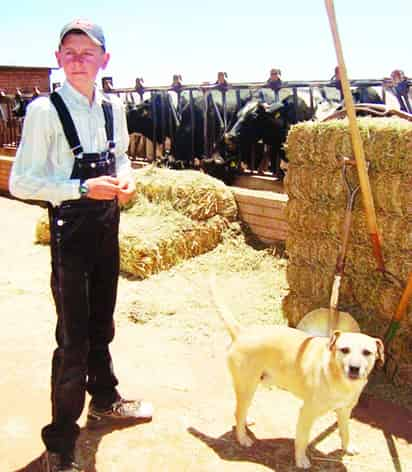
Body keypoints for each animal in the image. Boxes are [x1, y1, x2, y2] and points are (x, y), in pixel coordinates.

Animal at [211, 280, 384, 468]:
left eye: (367, 352)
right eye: (344, 350)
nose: (354, 368)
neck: (337, 378)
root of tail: (242, 333)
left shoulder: (344, 411)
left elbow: (345, 431)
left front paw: (347, 447)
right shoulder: (307, 412)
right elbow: (302, 440)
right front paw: (301, 460)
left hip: (252, 386)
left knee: (241, 410)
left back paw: (245, 421)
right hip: (247, 386)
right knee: (238, 412)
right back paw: (242, 438)